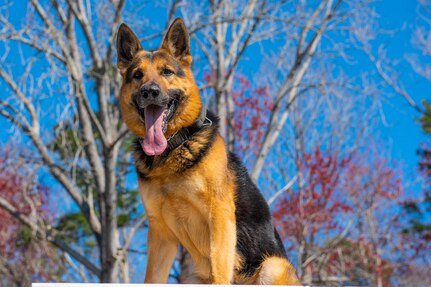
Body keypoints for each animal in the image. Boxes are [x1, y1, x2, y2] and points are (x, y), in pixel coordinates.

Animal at [116, 19, 302, 286]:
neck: (172, 149)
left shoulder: (219, 216)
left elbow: (219, 269)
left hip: (271, 266)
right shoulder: (160, 232)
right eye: (137, 75)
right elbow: (153, 277)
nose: (149, 91)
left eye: (167, 72)